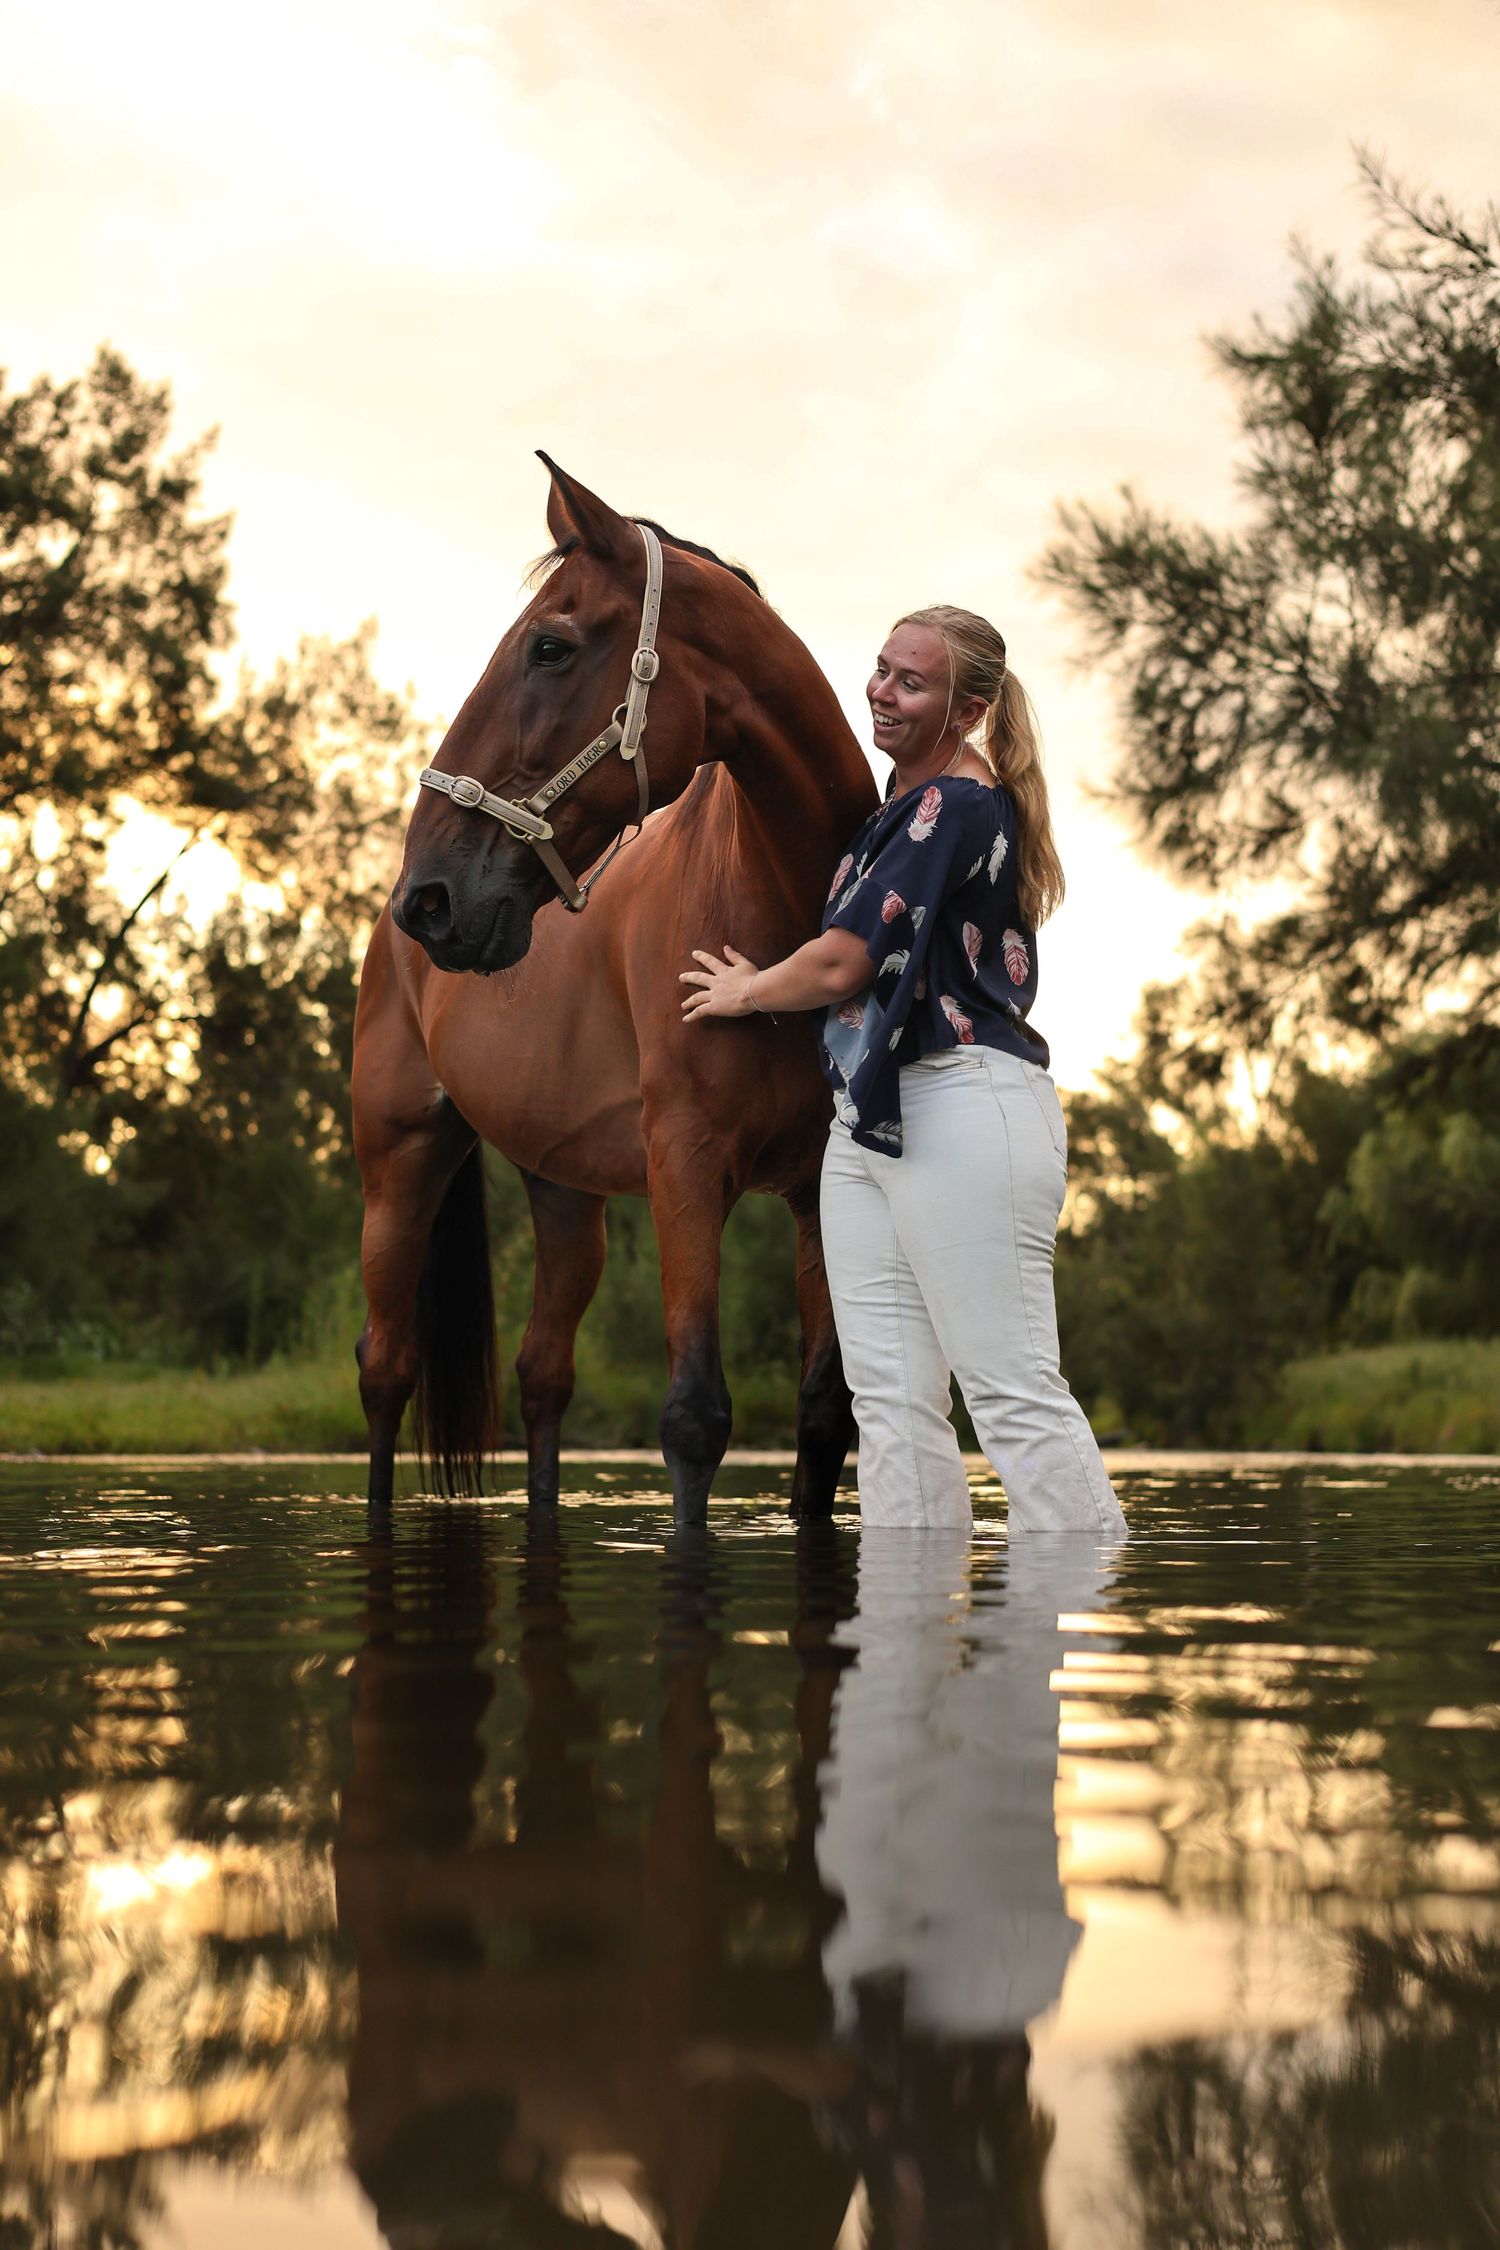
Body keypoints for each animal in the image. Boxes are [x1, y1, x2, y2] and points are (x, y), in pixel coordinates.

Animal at [351, 456, 878, 1523]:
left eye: (549, 647)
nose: (428, 897)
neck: (777, 910)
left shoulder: (814, 1191)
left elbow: (821, 1423)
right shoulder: (686, 1164)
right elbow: (694, 1416)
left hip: (565, 1197)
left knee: (543, 1378)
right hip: (400, 1165)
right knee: (386, 1373)